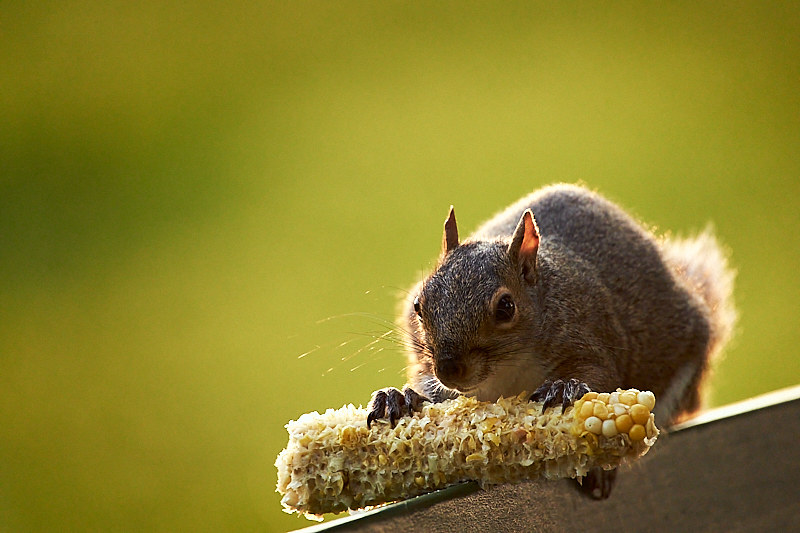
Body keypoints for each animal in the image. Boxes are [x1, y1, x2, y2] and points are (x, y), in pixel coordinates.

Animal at [367, 183, 736, 498]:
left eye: (506, 307)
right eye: (419, 304)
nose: (448, 369)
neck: (505, 374)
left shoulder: (588, 333)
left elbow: (600, 374)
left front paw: (563, 389)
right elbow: (435, 396)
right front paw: (399, 397)